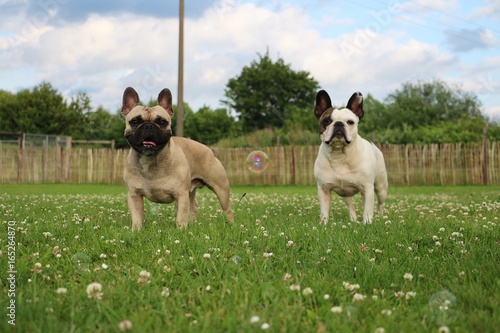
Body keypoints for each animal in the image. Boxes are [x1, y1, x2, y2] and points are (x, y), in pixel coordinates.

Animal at [120, 85, 233, 228]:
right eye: (134, 121)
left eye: (162, 122)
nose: (149, 126)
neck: (151, 160)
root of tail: (208, 150)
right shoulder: (134, 195)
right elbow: (137, 218)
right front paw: (136, 231)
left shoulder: (181, 195)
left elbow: (181, 217)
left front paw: (181, 230)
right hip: (191, 191)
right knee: (194, 207)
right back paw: (193, 224)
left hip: (221, 189)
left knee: (227, 209)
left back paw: (232, 225)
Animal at [314, 89, 388, 223]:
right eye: (327, 121)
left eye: (350, 122)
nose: (338, 124)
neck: (339, 154)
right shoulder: (323, 189)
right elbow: (324, 211)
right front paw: (323, 224)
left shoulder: (367, 188)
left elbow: (367, 210)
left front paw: (367, 223)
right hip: (345, 193)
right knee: (350, 205)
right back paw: (353, 219)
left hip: (381, 187)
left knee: (380, 203)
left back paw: (380, 217)